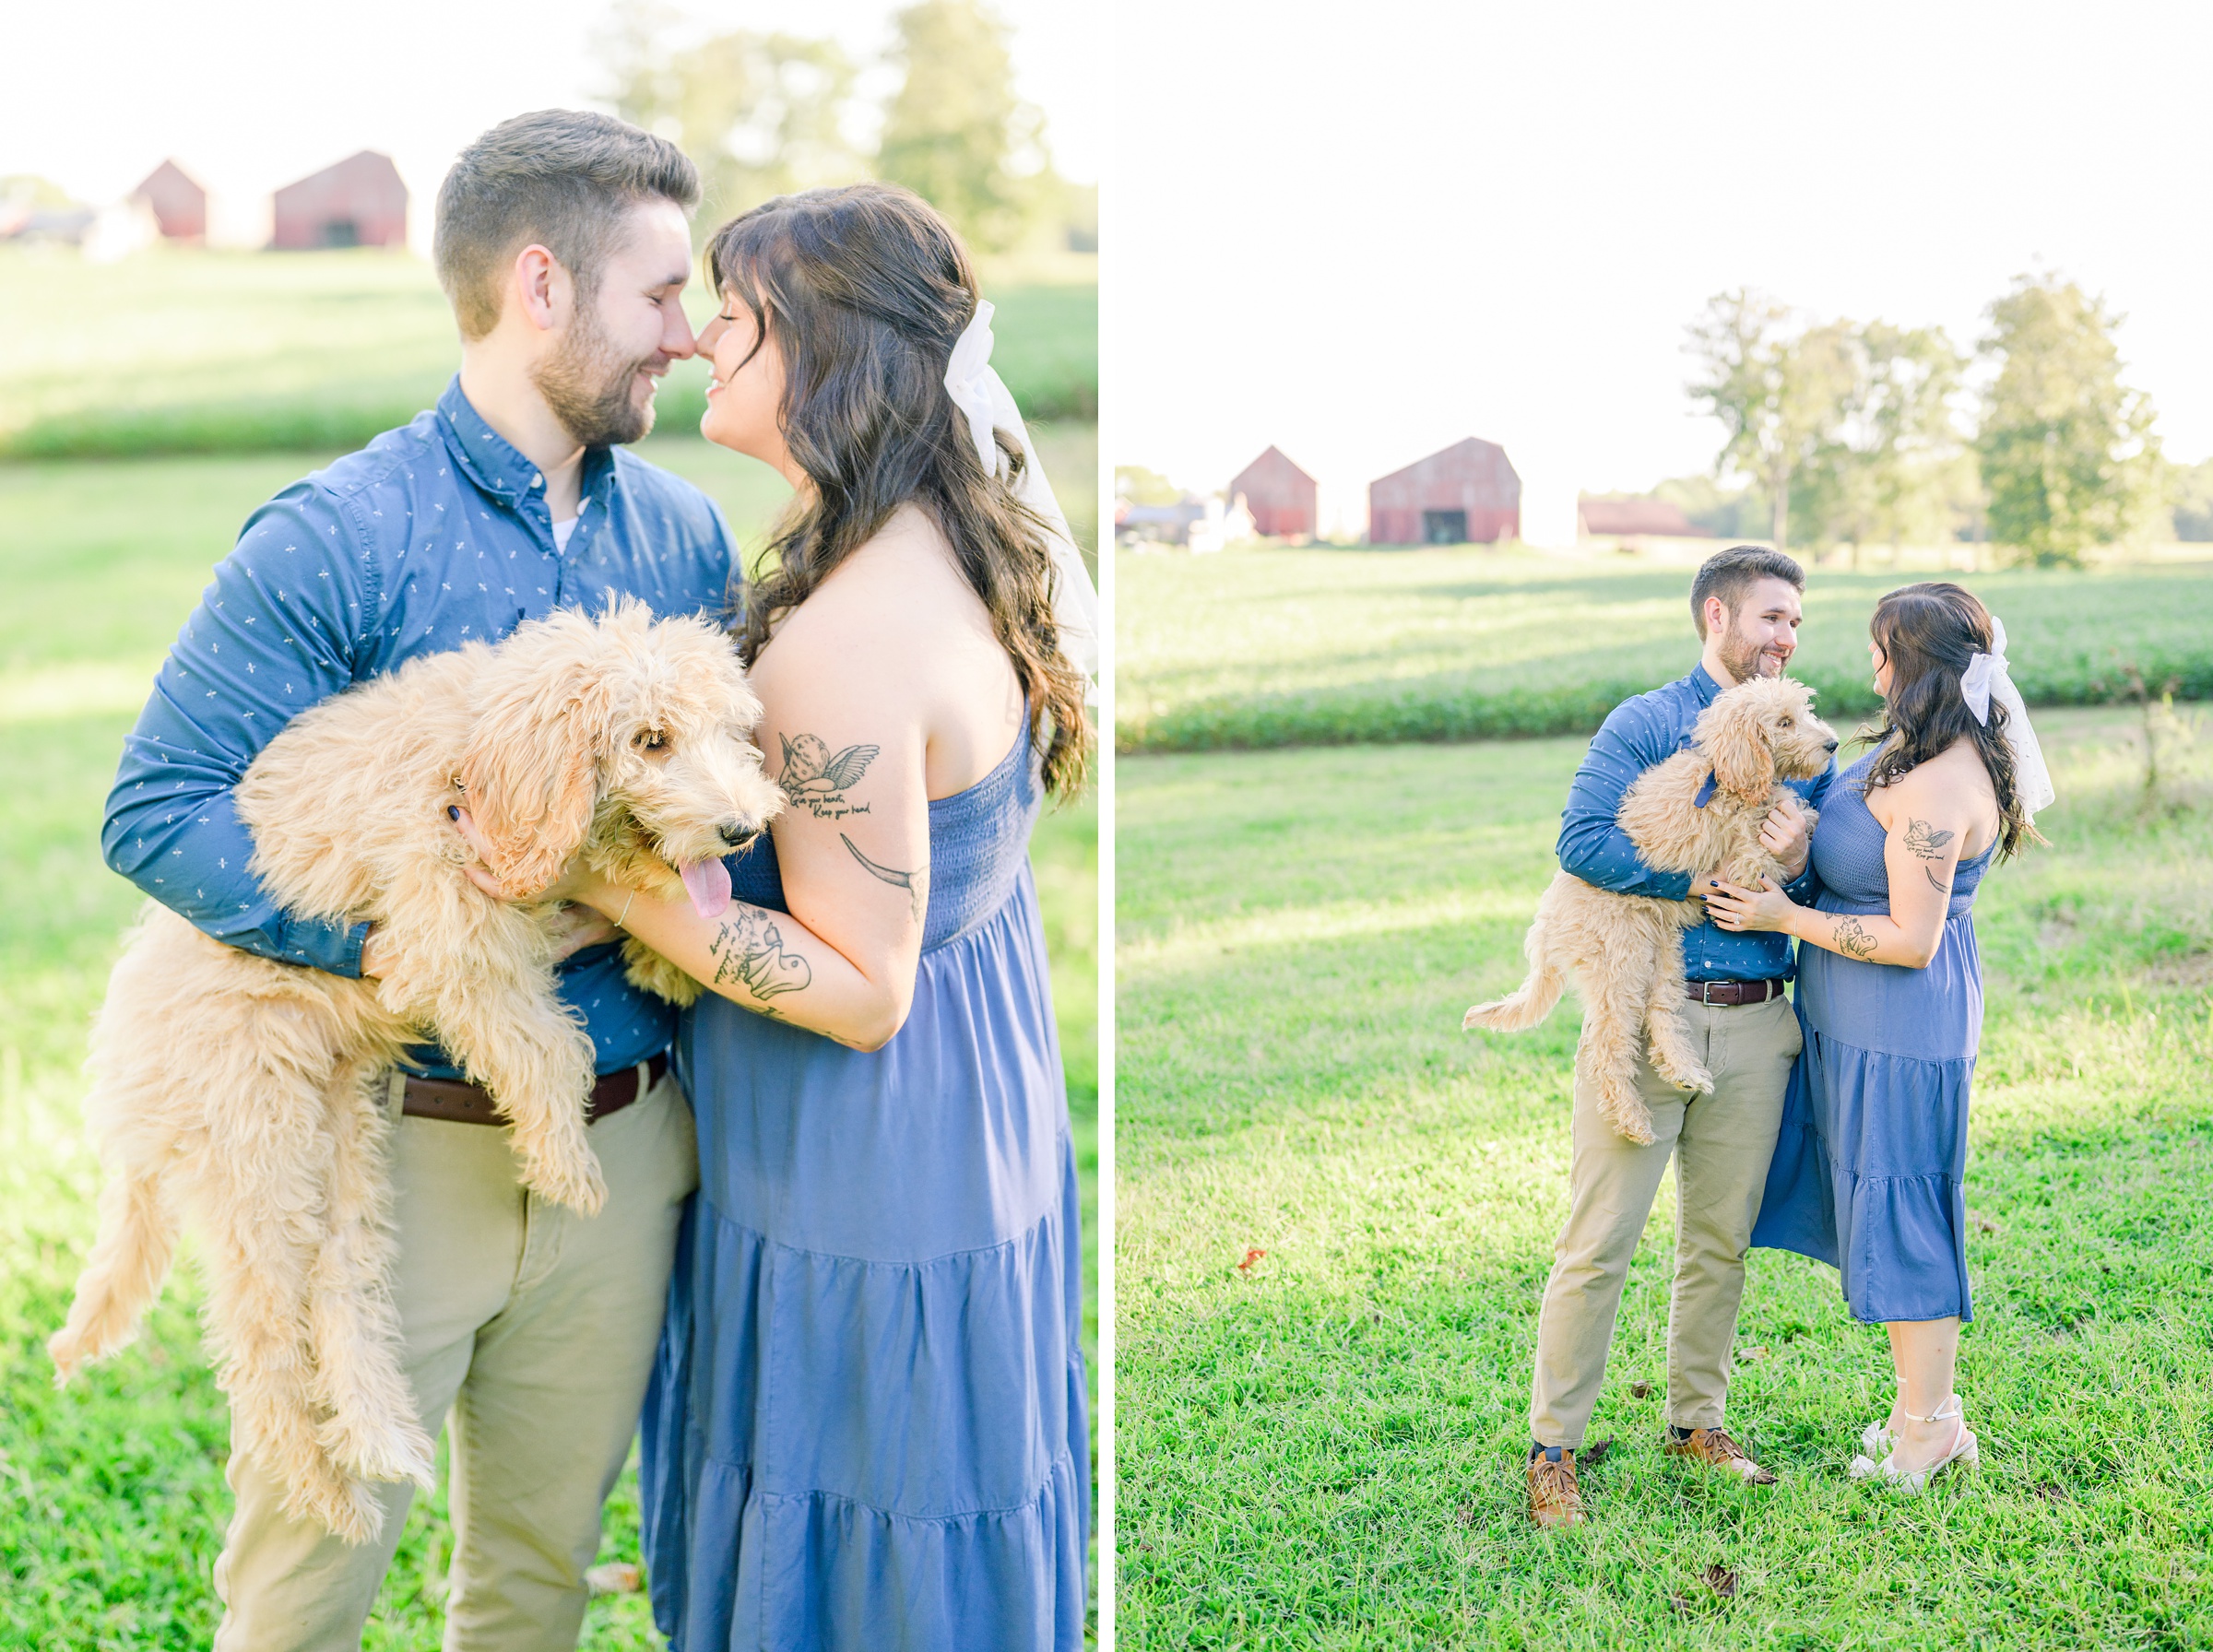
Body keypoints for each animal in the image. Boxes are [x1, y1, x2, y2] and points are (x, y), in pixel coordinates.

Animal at [47, 606, 783, 1548]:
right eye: (652, 740)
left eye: (732, 734)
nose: (742, 829)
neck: (477, 744)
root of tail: (125, 1055)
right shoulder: (451, 935)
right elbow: (547, 1045)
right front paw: (564, 1164)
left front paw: (666, 963)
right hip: (261, 1153)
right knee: (264, 1351)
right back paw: (327, 1491)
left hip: (342, 1147)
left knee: (342, 1293)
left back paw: (380, 1438)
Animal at [1469, 677, 1832, 1140]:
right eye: (1784, 722)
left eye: (1804, 712)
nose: (1833, 744)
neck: (1721, 773)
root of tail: (1547, 923)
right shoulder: (1743, 863)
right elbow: (1787, 828)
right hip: (1620, 965)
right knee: (1609, 1045)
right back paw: (1632, 1120)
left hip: (1660, 956)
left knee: (1658, 1017)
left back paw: (1685, 1073)